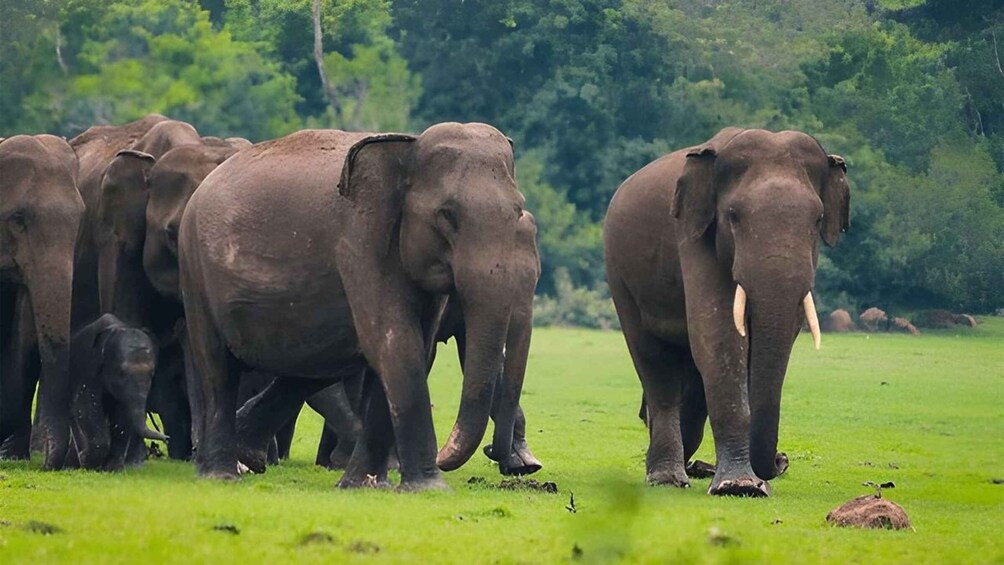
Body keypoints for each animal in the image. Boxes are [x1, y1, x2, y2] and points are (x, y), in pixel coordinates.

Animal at [66, 314, 168, 471]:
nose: (167, 438)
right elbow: (86, 407)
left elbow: (122, 415)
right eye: (121, 372)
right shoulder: (87, 368)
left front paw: (112, 468)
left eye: (151, 375)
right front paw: (89, 464)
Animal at [179, 123, 538, 491]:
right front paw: (429, 488)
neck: (407, 147)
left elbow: (416, 347)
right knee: (217, 366)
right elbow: (393, 341)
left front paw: (365, 485)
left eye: (517, 211)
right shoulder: (360, 238)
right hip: (194, 268)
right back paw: (223, 474)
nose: (490, 451)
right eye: (446, 216)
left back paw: (243, 459)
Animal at [604, 128, 849, 497]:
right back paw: (667, 478)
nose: (782, 460)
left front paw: (742, 482)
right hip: (619, 273)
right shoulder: (692, 233)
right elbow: (717, 334)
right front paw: (739, 487)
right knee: (653, 359)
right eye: (733, 216)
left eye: (818, 219)